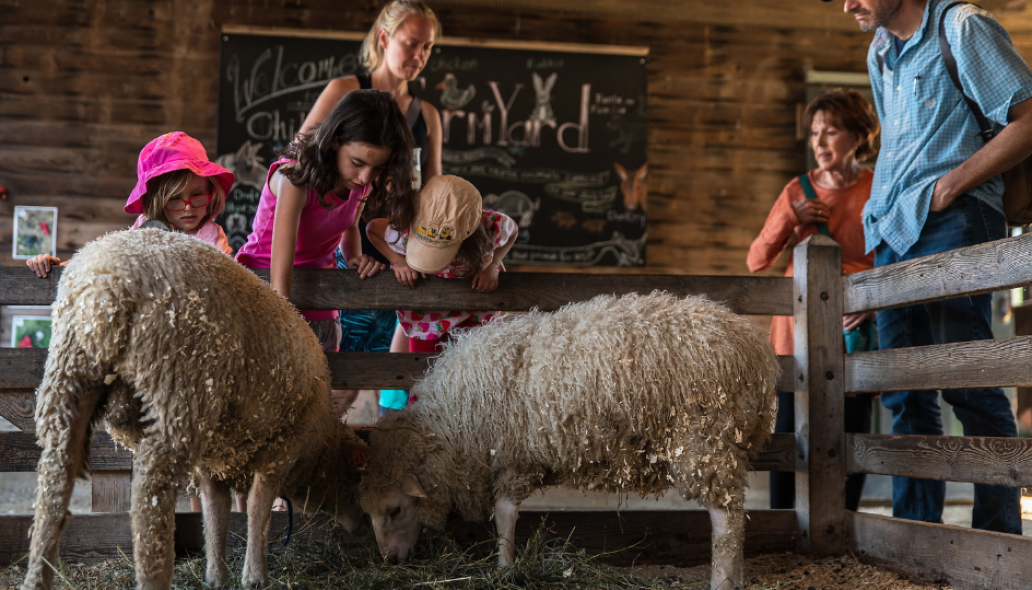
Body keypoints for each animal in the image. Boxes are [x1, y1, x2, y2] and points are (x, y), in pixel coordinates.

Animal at [21, 228, 371, 590]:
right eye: (358, 478)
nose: (364, 523)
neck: (320, 449)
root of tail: (107, 283)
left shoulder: (213, 460)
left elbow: (215, 512)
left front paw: (216, 575)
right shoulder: (280, 450)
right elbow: (257, 509)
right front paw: (255, 575)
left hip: (70, 375)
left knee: (54, 479)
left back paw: (38, 575)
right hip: (178, 390)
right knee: (149, 498)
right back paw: (154, 576)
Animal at [361, 292, 776, 590]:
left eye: (395, 509)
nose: (389, 560)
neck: (451, 425)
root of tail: (756, 351)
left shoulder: (512, 456)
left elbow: (505, 512)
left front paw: (504, 568)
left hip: (704, 442)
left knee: (726, 520)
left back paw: (722, 582)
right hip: (725, 444)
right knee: (736, 517)